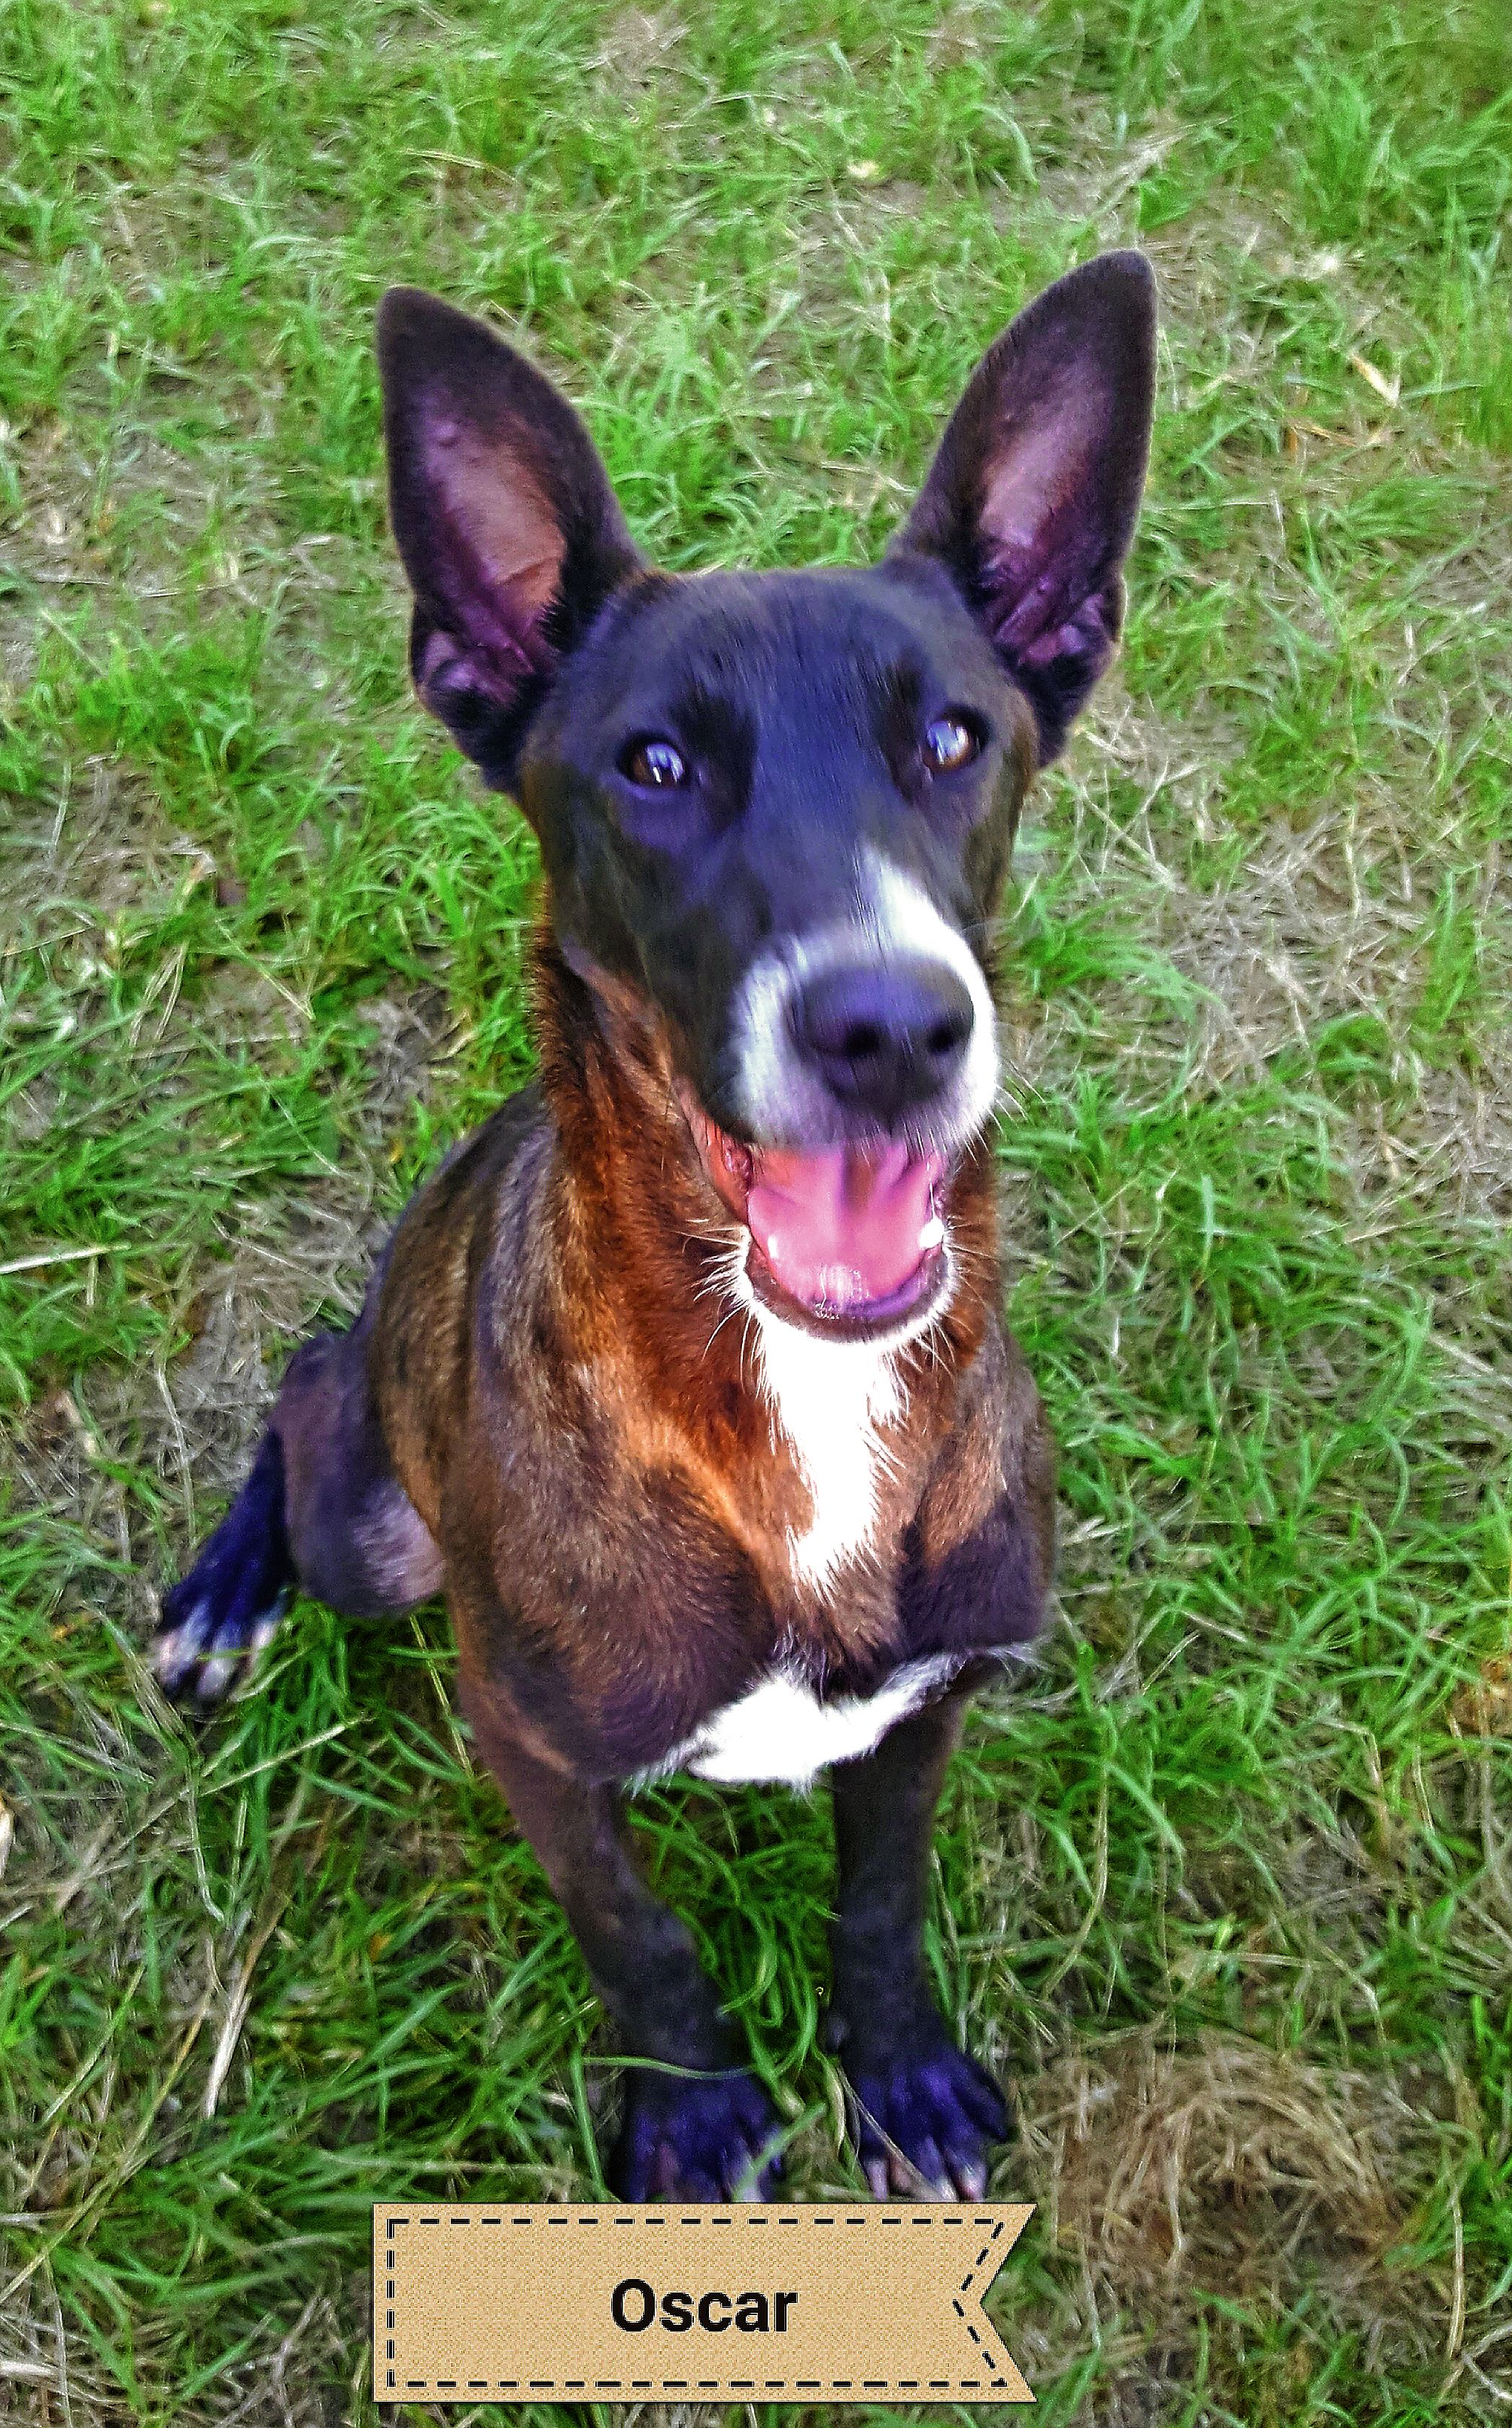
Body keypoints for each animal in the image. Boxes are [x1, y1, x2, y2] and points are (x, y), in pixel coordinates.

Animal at [151, 256, 1160, 2214]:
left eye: (953, 736)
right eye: (656, 762)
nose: (890, 1027)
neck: (799, 1398)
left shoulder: (926, 1707)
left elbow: (881, 1900)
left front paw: (898, 2071)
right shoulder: (534, 1743)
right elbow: (643, 1936)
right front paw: (691, 2108)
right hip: (375, 1526)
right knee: (307, 1382)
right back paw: (232, 1585)